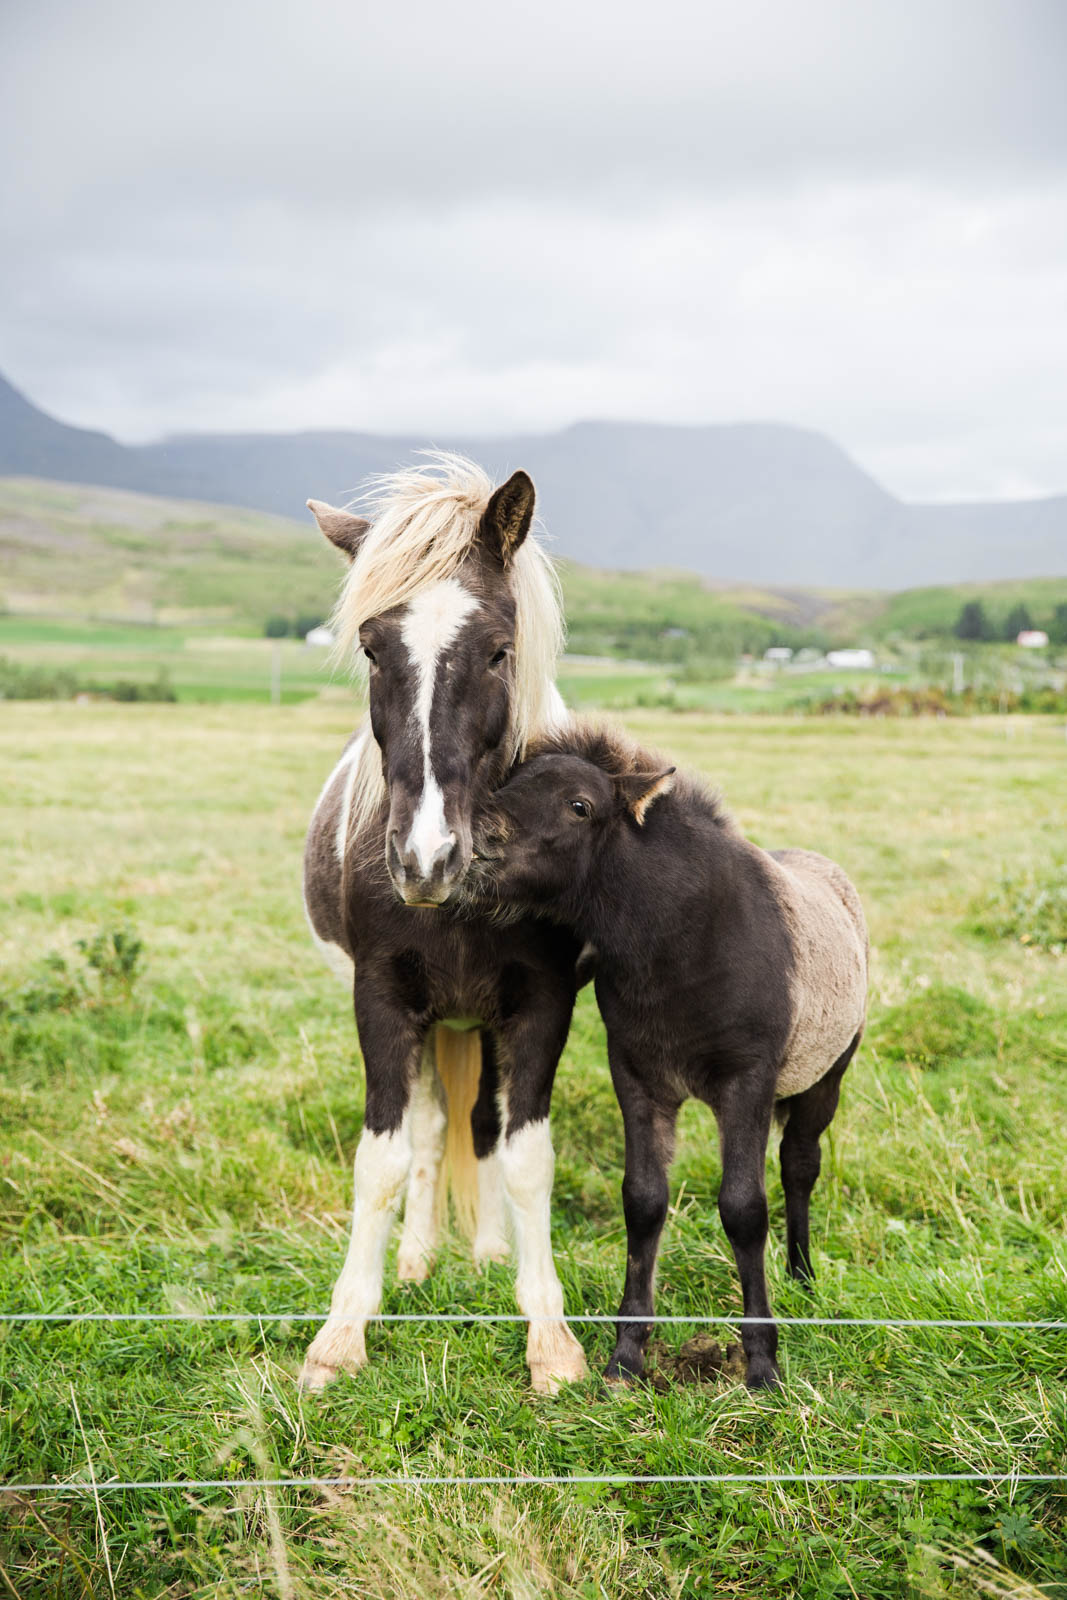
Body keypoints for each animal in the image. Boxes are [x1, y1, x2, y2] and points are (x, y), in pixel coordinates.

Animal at [295, 451, 588, 1388]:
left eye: (498, 650)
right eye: (369, 646)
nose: (425, 859)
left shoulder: (540, 1004)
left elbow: (524, 1156)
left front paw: (549, 1338)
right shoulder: (382, 1000)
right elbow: (384, 1159)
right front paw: (343, 1331)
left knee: (482, 1128)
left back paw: (489, 1251)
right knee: (431, 1132)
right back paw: (421, 1257)